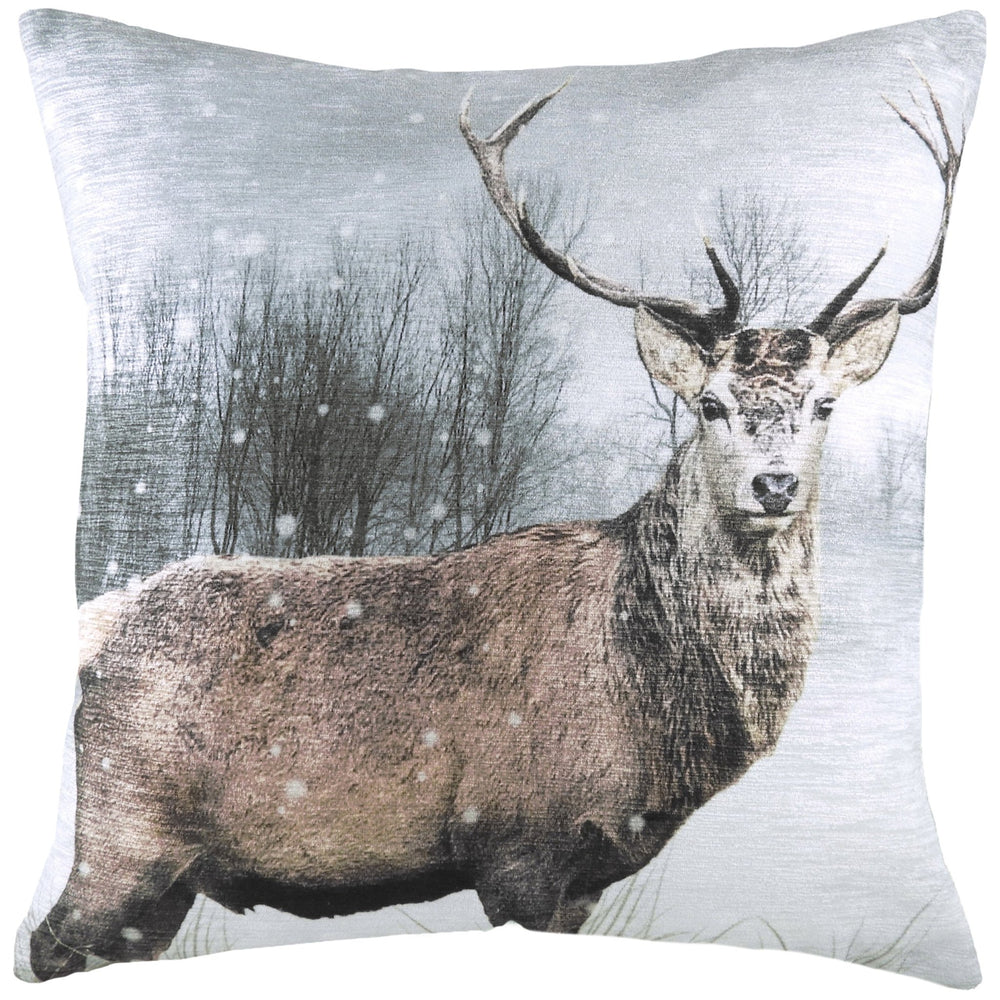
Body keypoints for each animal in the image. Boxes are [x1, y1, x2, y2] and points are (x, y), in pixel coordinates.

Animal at [28, 75, 962, 980]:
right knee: (47, 943)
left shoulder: (588, 872)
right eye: (711, 403)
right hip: (125, 829)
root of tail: (101, 622)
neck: (650, 706)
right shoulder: (519, 838)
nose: (775, 484)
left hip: (166, 879)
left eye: (826, 404)